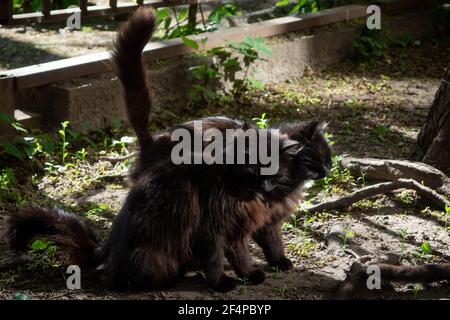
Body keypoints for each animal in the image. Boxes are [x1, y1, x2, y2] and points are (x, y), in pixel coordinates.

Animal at [3, 7, 332, 292]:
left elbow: (252, 251)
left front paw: (259, 270)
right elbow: (220, 256)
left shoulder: (249, 226)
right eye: (317, 157)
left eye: (327, 156)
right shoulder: (216, 230)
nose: (327, 169)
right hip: (155, 247)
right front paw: (223, 282)